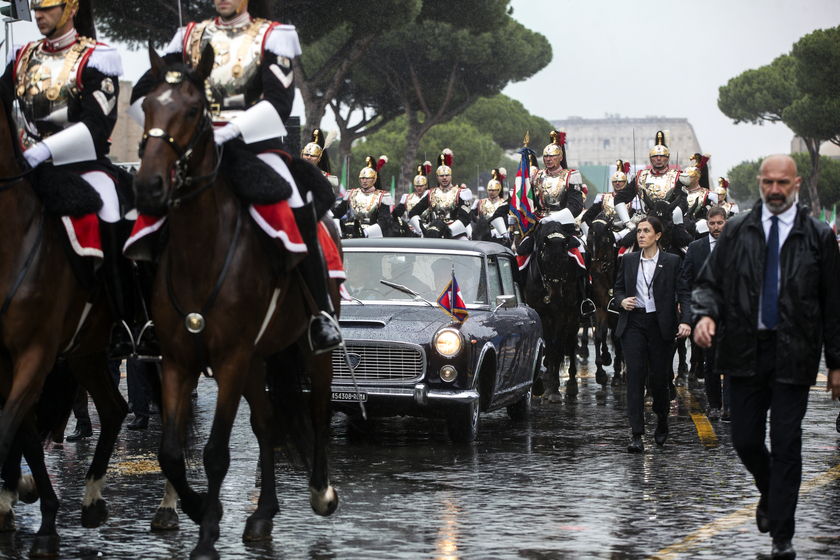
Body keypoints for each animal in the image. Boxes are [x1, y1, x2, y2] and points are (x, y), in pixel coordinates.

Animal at [0, 80, 129, 556]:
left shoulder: (35, 355)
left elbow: (8, 430)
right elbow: (25, 436)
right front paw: (39, 509)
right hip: (84, 353)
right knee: (114, 407)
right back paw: (89, 501)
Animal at [133, 48, 340, 560]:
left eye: (193, 111)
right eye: (146, 106)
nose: (148, 186)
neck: (203, 251)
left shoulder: (228, 360)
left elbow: (215, 452)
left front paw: (207, 535)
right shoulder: (179, 359)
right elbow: (171, 452)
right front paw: (195, 508)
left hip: (305, 350)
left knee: (318, 410)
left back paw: (320, 492)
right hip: (255, 359)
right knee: (266, 425)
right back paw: (262, 513)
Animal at [520, 221, 584, 400]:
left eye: (565, 259)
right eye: (546, 259)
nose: (555, 294)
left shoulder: (561, 314)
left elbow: (555, 349)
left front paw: (554, 390)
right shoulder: (541, 312)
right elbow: (547, 345)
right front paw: (540, 386)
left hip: (574, 316)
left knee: (570, 343)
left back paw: (571, 384)